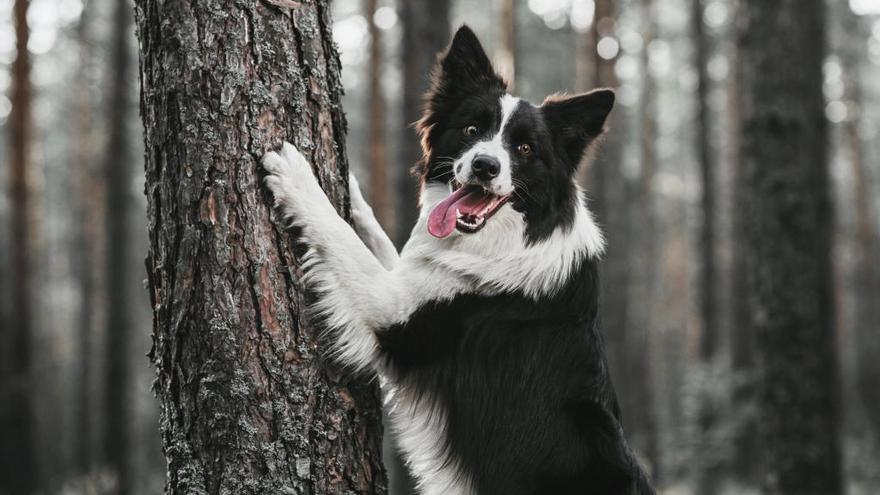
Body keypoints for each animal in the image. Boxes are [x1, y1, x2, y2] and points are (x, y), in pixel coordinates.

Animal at [264, 26, 656, 495]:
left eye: (525, 148)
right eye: (471, 128)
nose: (485, 165)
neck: (513, 235)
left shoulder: (398, 316)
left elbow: (341, 237)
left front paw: (296, 177)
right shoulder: (411, 276)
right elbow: (377, 239)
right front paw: (355, 191)